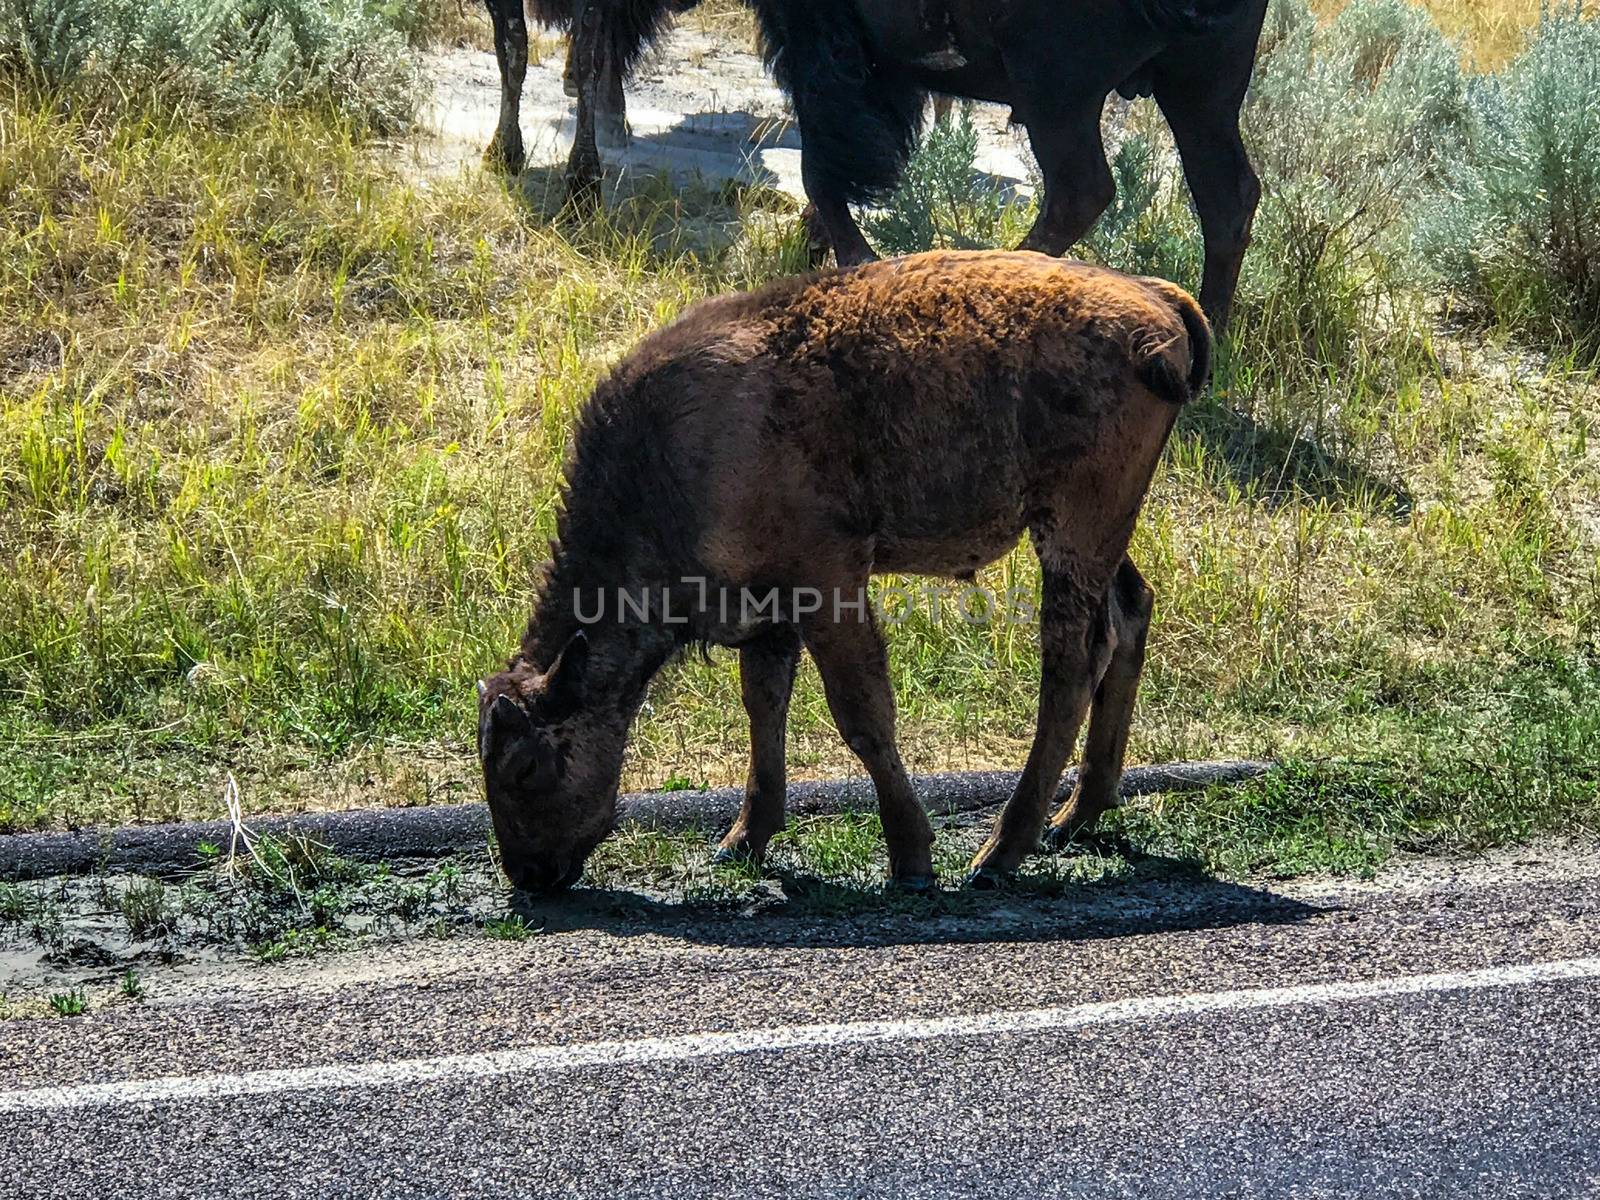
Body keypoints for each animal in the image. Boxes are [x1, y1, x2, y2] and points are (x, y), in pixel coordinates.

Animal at [473, 254, 1209, 896]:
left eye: (525, 764)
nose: (529, 875)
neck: (669, 461)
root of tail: (1156, 297)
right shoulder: (766, 611)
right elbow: (764, 705)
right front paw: (742, 839)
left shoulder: (828, 584)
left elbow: (862, 714)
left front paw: (911, 859)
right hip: (1094, 531)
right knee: (1129, 612)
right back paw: (1075, 816)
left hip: (1074, 528)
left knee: (1072, 664)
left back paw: (1000, 852)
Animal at [483, 0, 1260, 329]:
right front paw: (814, 245)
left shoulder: (821, 46)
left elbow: (825, 163)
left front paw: (849, 258)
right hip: (1201, 91)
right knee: (1228, 198)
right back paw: (1211, 335)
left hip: (1059, 93)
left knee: (1084, 190)